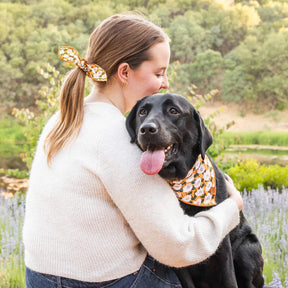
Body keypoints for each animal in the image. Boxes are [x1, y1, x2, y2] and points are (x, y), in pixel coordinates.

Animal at [125, 94, 264, 288]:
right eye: (142, 112)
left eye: (173, 110)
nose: (146, 129)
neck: (183, 180)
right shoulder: (179, 260)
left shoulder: (222, 246)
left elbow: (229, 279)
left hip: (247, 249)